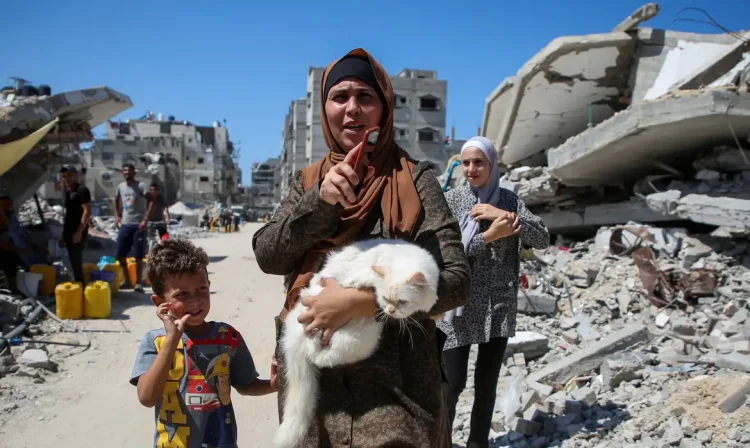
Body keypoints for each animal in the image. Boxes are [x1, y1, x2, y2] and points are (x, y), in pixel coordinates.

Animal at [274, 238, 440, 448]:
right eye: (385, 298)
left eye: (402, 301)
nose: (390, 311)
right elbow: (362, 275)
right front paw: (355, 281)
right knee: (317, 354)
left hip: (364, 339)